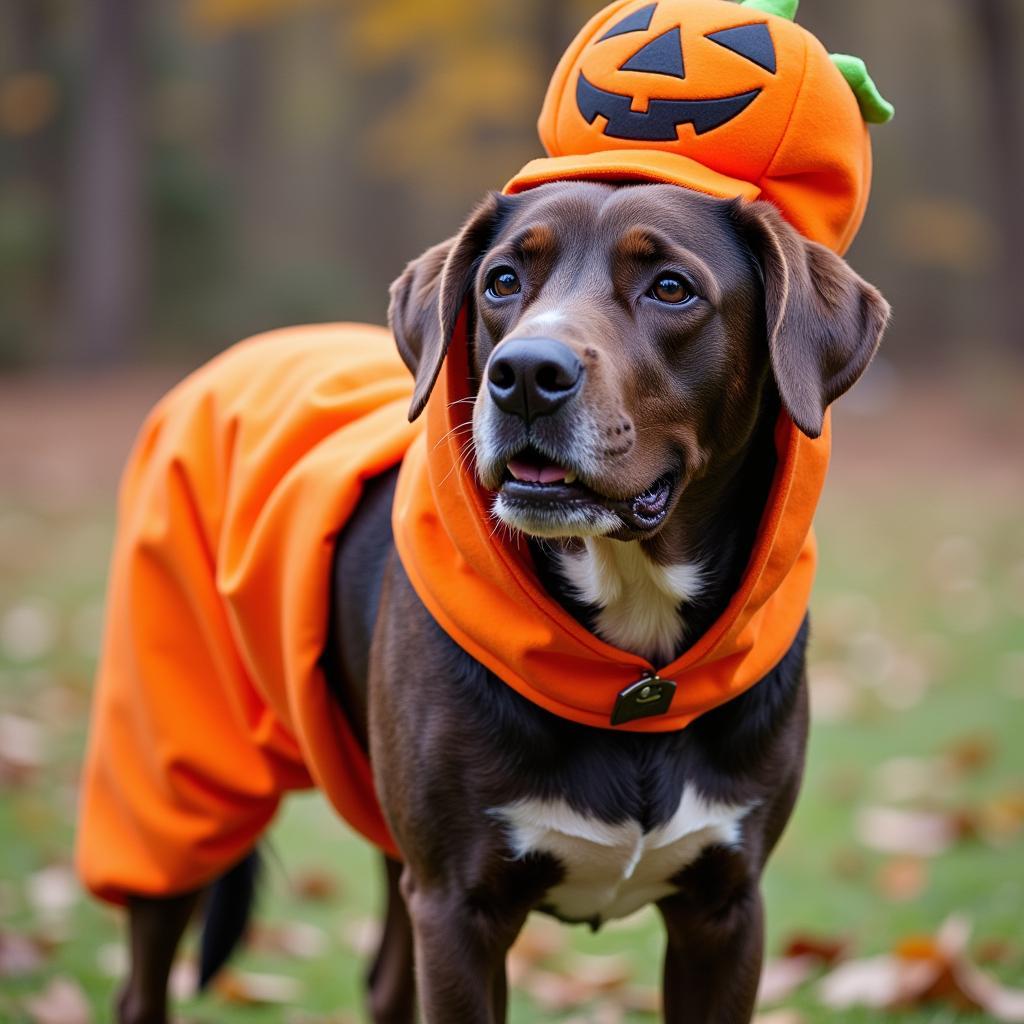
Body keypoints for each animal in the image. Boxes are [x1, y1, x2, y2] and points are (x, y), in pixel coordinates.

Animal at [105, 180, 888, 1019]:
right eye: (502, 282)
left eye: (672, 288)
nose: (526, 375)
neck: (635, 653)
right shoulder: (458, 907)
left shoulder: (726, 910)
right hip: (177, 789)